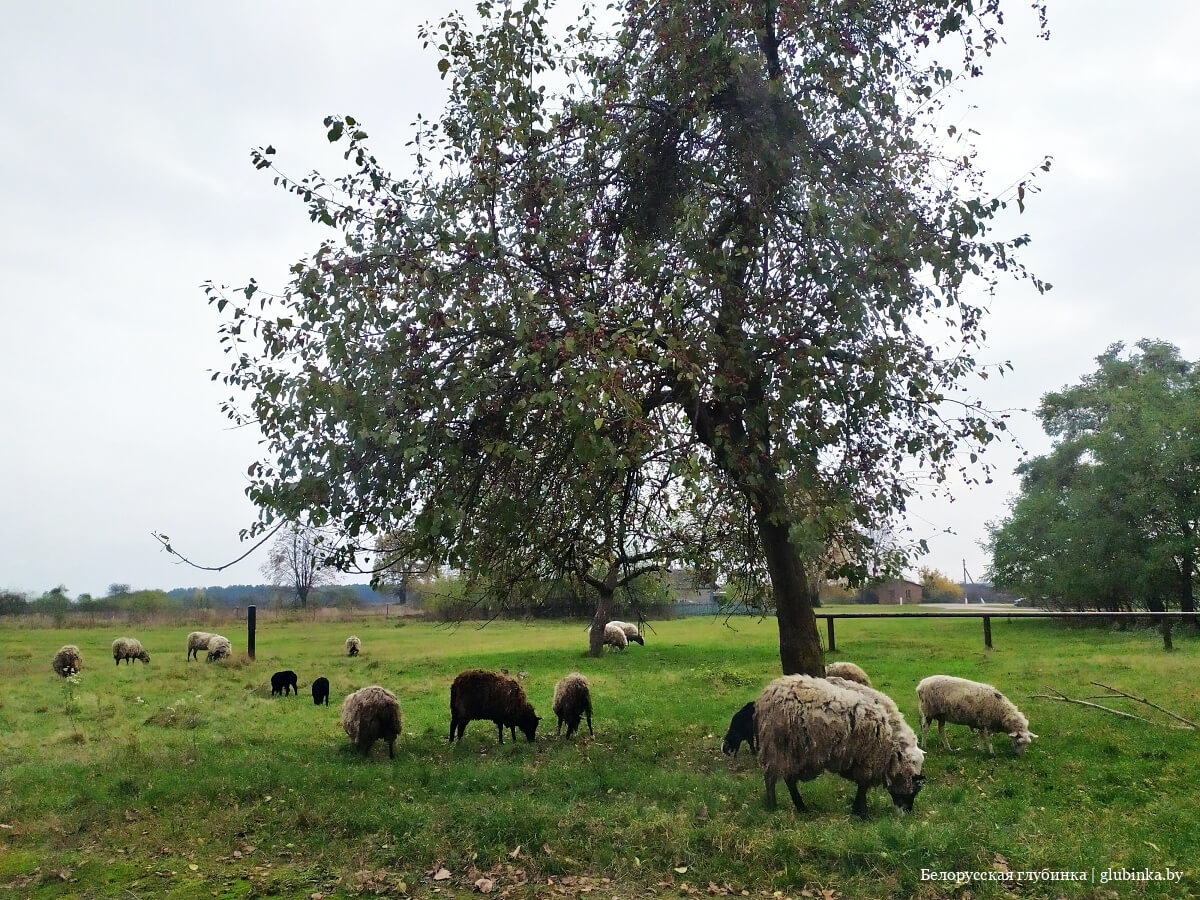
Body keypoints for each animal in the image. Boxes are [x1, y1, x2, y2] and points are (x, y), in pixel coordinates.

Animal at [753, 676, 921, 816]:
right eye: (913, 792)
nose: (906, 815)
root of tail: (767, 694)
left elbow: (861, 785)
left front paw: (857, 810)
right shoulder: (868, 759)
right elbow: (863, 785)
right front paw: (862, 813)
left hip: (791, 751)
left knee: (787, 778)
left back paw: (799, 807)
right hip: (779, 747)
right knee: (772, 778)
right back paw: (775, 806)